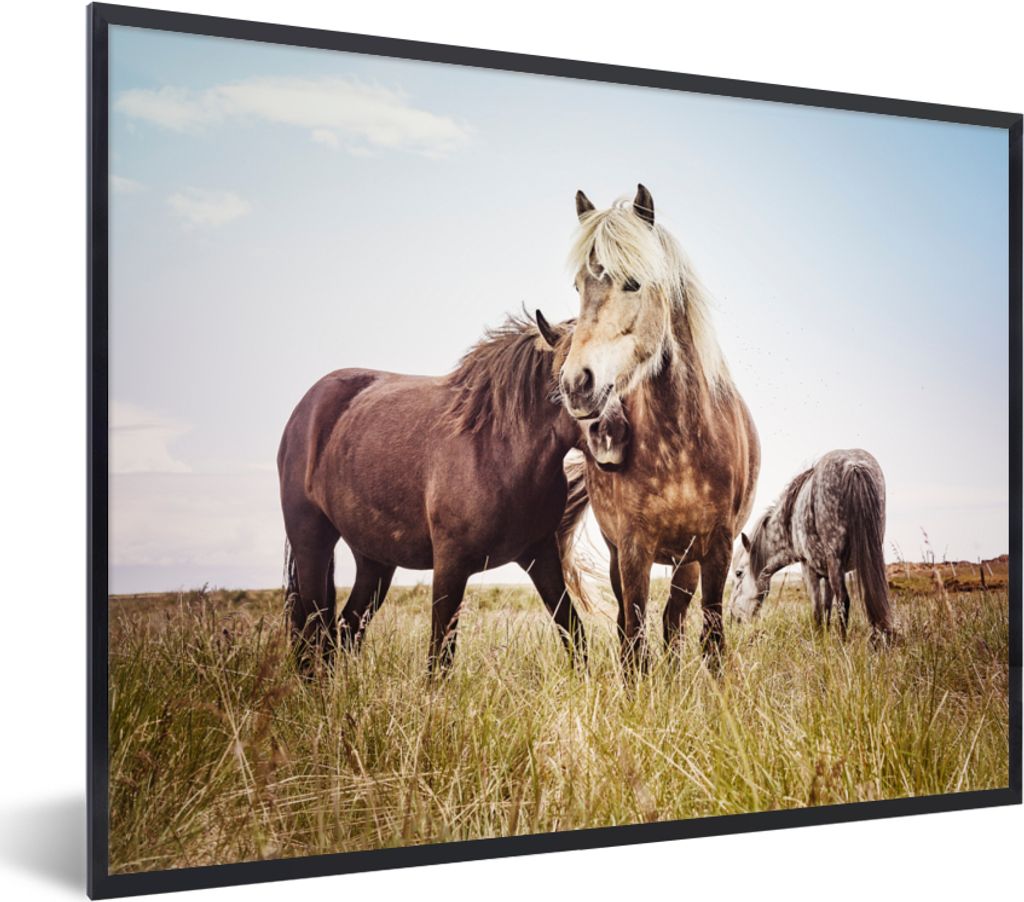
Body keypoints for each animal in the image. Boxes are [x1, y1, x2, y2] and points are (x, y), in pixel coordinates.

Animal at [277, 315, 590, 677]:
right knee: (313, 631)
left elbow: (573, 630)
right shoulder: (450, 564)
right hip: (312, 544)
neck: (499, 448)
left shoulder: (541, 555)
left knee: (344, 629)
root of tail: (304, 410)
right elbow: (440, 653)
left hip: (374, 561)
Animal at [537, 184, 760, 675]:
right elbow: (634, 637)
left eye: (633, 282)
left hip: (686, 562)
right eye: (579, 285)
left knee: (674, 620)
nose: (576, 384)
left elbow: (710, 634)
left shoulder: (716, 548)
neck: (680, 445)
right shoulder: (633, 547)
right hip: (621, 553)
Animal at [729, 448, 893, 641]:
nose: (733, 617)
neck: (789, 523)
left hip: (836, 560)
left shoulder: (809, 568)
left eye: (739, 573)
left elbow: (817, 610)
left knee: (844, 601)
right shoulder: (828, 575)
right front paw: (826, 637)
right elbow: (827, 607)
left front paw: (819, 639)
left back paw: (843, 642)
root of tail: (854, 466)